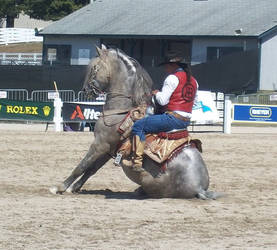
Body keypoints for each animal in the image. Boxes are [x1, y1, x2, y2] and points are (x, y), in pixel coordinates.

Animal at [49, 45, 220, 199]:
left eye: (94, 68)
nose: (86, 90)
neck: (121, 109)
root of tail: (200, 188)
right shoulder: (108, 149)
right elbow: (91, 169)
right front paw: (74, 188)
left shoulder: (100, 144)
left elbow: (81, 166)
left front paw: (60, 187)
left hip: (148, 181)